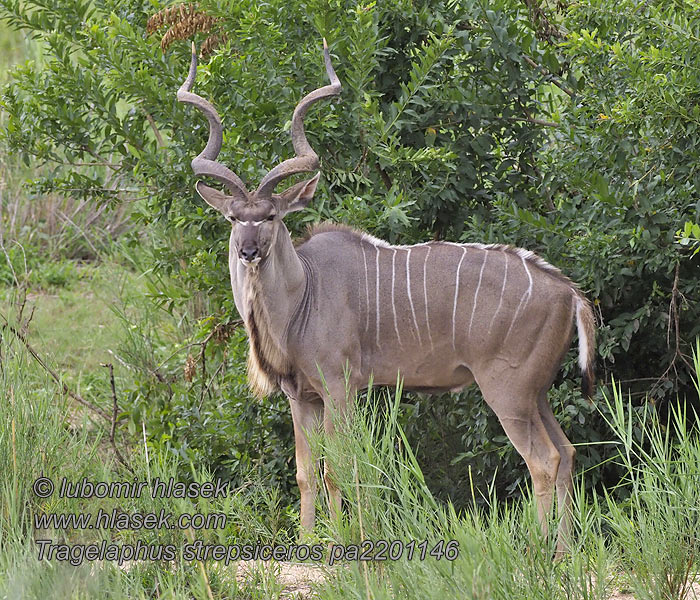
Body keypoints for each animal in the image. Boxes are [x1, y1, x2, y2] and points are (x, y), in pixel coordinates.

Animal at [176, 38, 596, 552]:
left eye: (271, 216)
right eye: (234, 217)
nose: (248, 250)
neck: (303, 295)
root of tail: (568, 292)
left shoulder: (338, 389)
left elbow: (340, 467)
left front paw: (342, 541)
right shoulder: (303, 398)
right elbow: (306, 472)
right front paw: (309, 541)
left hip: (508, 392)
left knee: (543, 459)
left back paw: (540, 550)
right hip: (536, 393)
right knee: (568, 452)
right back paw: (565, 550)